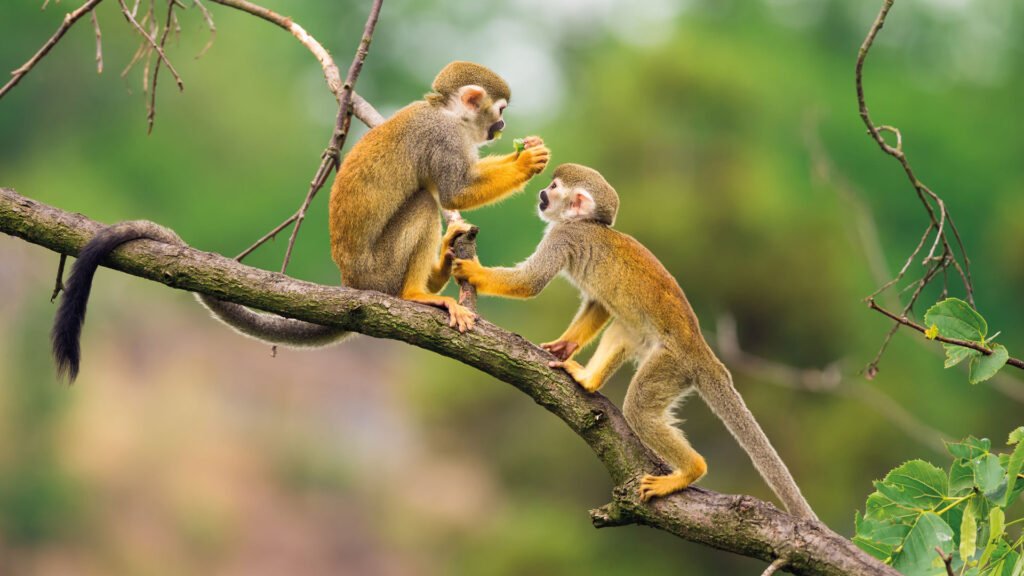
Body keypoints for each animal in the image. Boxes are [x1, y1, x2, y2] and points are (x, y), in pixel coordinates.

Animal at [51, 61, 550, 382]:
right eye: (500, 111)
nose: (502, 128)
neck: (448, 114)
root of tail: (352, 284)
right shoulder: (443, 138)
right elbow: (452, 191)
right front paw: (527, 163)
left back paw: (443, 264)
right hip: (379, 270)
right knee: (425, 203)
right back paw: (417, 294)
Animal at [451, 163, 817, 519]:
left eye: (554, 188)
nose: (541, 193)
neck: (585, 223)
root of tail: (703, 353)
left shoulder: (563, 236)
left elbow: (531, 282)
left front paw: (472, 271)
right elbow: (598, 304)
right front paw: (564, 346)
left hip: (672, 365)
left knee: (639, 407)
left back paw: (691, 470)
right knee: (623, 328)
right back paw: (588, 380)